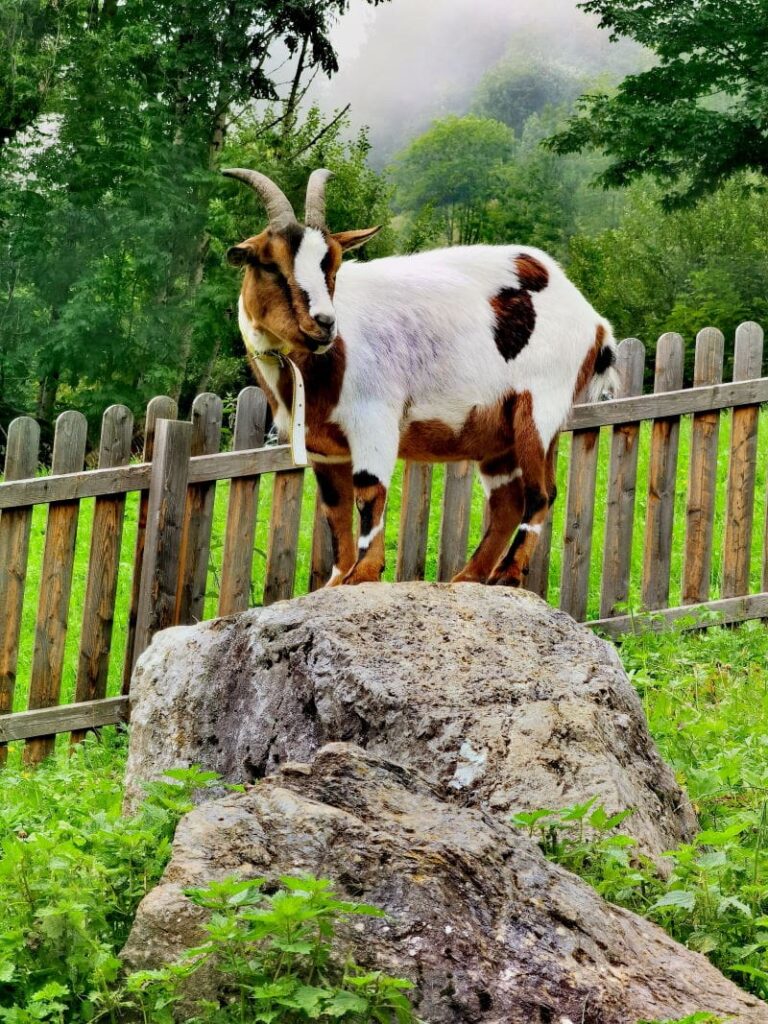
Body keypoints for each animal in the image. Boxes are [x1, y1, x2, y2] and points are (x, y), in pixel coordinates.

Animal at [222, 164, 618, 589]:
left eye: (333, 265)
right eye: (269, 264)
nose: (324, 324)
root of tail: (595, 322)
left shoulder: (374, 419)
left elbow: (369, 492)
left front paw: (364, 573)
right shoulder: (324, 449)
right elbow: (334, 510)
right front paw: (337, 580)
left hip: (538, 407)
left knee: (541, 493)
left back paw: (507, 574)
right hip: (500, 437)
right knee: (507, 500)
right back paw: (467, 577)